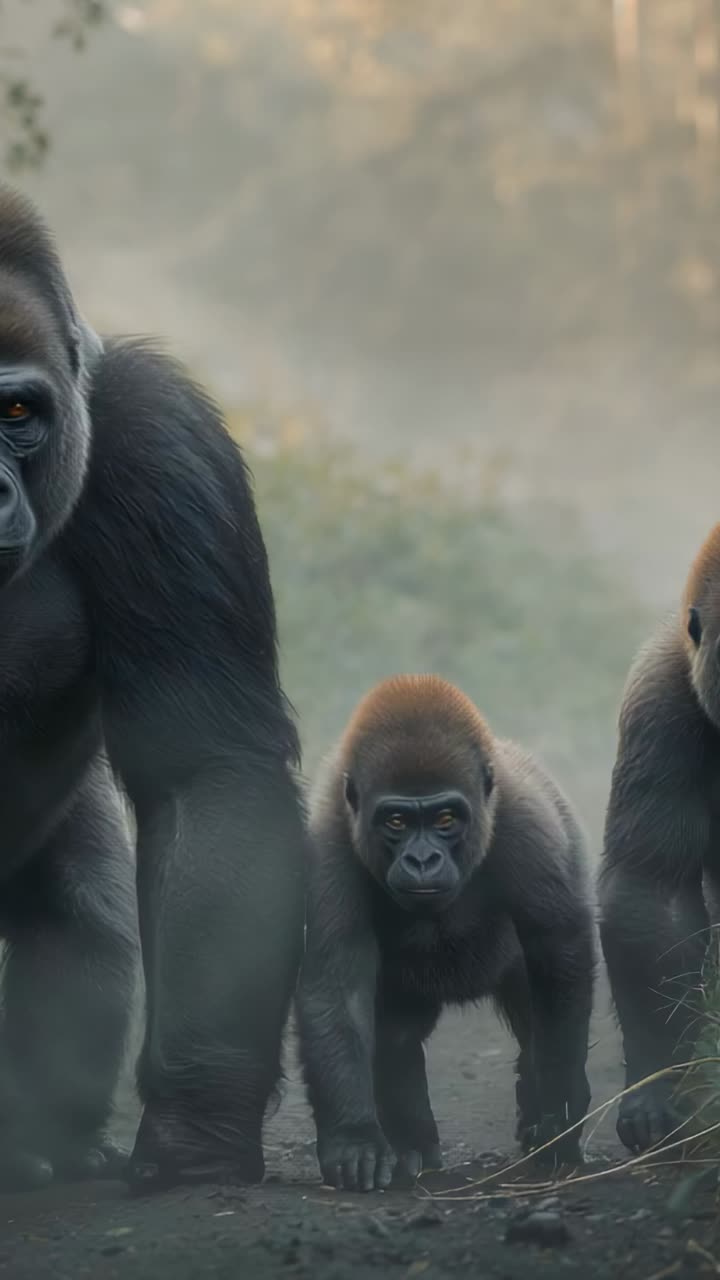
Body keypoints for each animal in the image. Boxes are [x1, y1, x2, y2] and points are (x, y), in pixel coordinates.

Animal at [0, 186, 305, 1193]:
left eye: (17, 411)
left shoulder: (155, 433)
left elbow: (205, 774)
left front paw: (196, 1127)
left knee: (84, 922)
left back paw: (33, 1141)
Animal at [296, 674, 595, 1191]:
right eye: (396, 820)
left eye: (445, 819)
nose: (422, 860)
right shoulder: (326, 842)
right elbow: (335, 982)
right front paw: (354, 1137)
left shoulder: (526, 819)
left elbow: (559, 950)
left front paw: (560, 1104)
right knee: (397, 1035)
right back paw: (412, 1143)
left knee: (534, 1013)